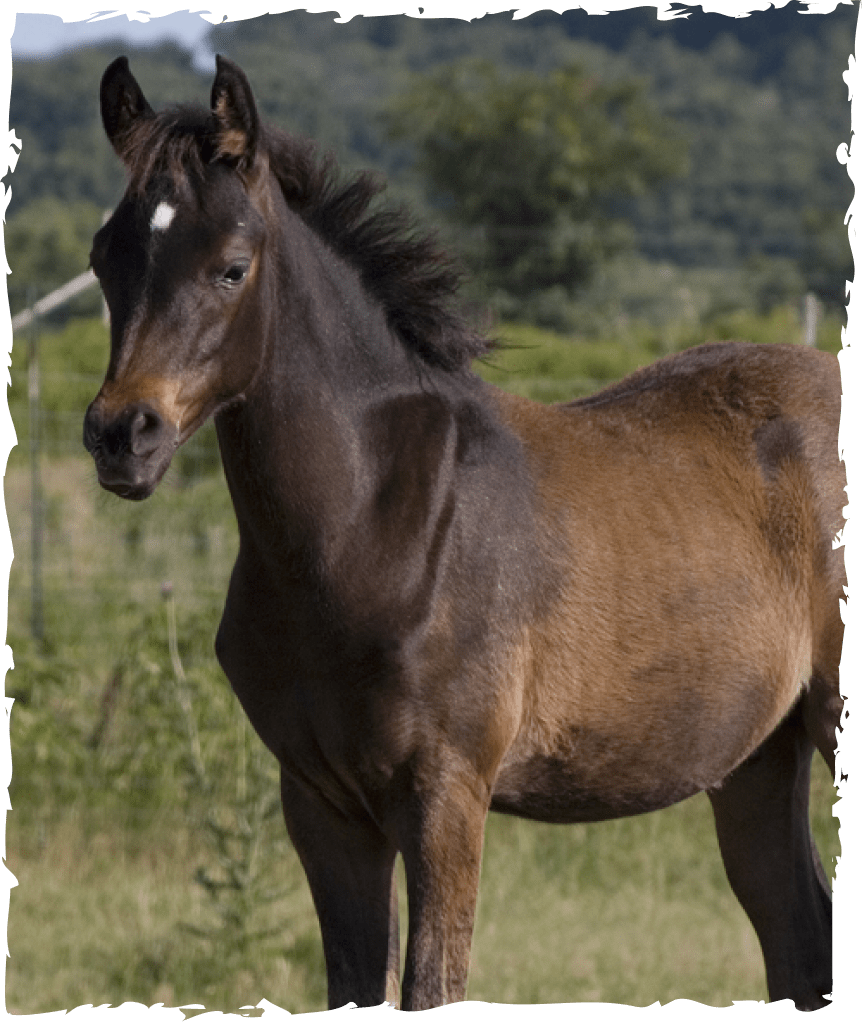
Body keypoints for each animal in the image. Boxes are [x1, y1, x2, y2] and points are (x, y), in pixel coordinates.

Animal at [84, 55, 845, 1011]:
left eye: (230, 268)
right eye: (103, 259)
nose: (122, 436)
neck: (372, 526)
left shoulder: (445, 793)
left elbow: (430, 984)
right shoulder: (320, 805)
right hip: (754, 759)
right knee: (799, 934)